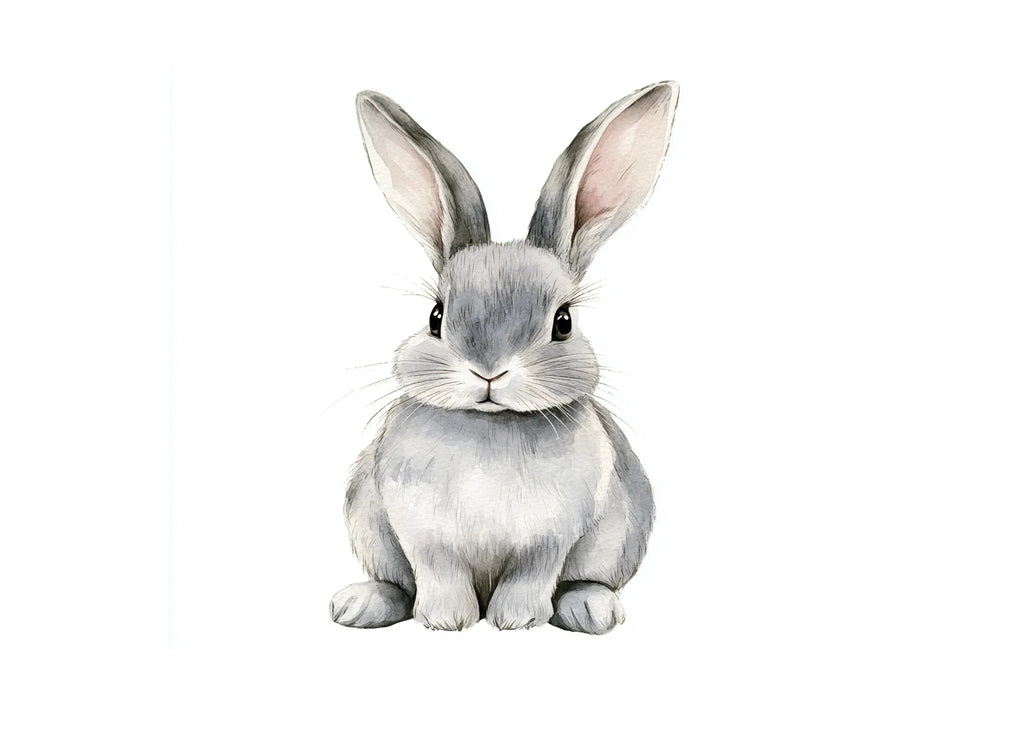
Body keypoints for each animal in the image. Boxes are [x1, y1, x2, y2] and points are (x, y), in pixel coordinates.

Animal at [330, 81, 679, 633]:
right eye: (436, 316)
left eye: (563, 322)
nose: (489, 371)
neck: (491, 426)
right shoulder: (423, 534)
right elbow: (438, 574)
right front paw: (448, 621)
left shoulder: (548, 541)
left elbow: (531, 576)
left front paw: (514, 621)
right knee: (396, 585)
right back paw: (358, 604)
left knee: (586, 581)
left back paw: (590, 609)